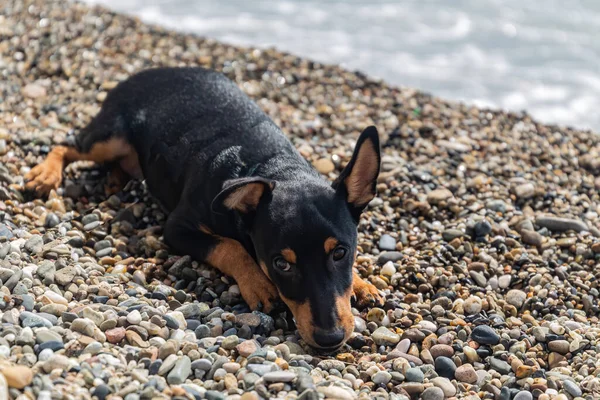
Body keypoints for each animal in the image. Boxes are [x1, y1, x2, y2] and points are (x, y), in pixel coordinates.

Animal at [25, 66, 382, 350]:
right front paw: (258, 284)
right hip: (110, 136)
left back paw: (116, 179)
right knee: (67, 145)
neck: (274, 166)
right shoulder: (177, 228)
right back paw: (45, 174)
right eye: (281, 264)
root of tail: (140, 73)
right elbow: (230, 247)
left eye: (340, 253)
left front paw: (362, 283)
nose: (330, 339)